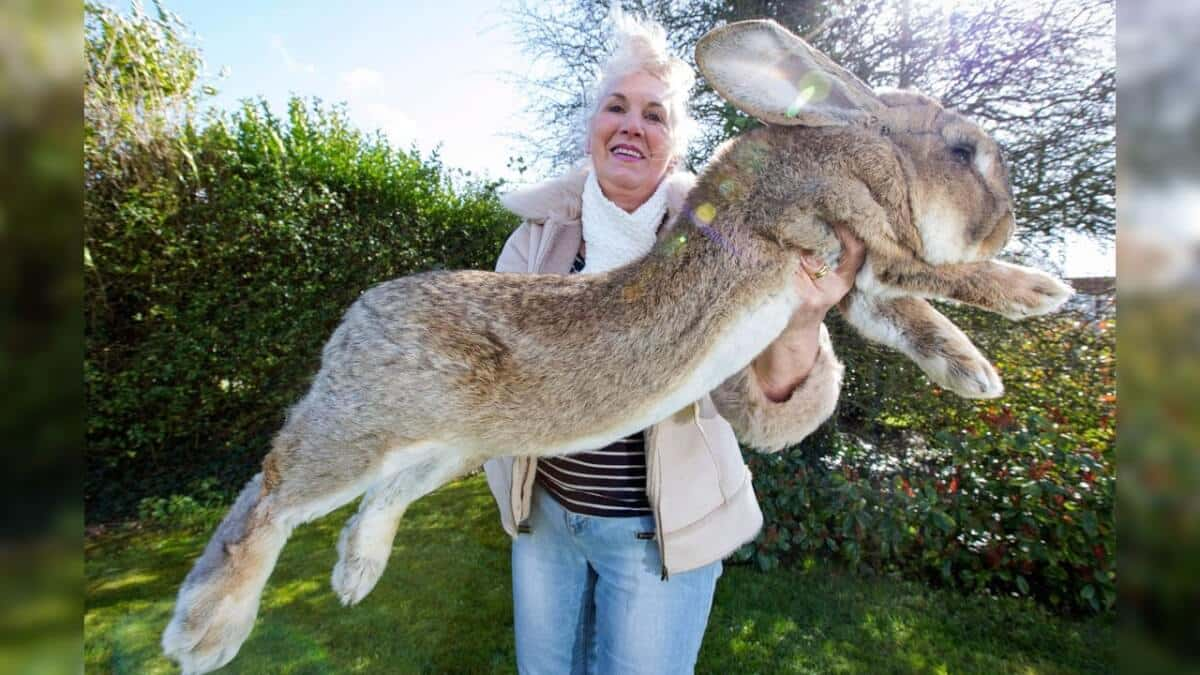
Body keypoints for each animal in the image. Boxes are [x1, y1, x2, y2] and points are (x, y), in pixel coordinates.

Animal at [159, 18, 1070, 667]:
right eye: (962, 150)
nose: (1009, 223)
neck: (858, 147)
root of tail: (357, 318)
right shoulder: (854, 232)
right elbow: (940, 275)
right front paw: (1037, 290)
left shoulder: (860, 281)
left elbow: (913, 316)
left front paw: (976, 373)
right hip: (369, 426)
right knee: (271, 493)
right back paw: (204, 631)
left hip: (447, 447)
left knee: (375, 497)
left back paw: (354, 573)